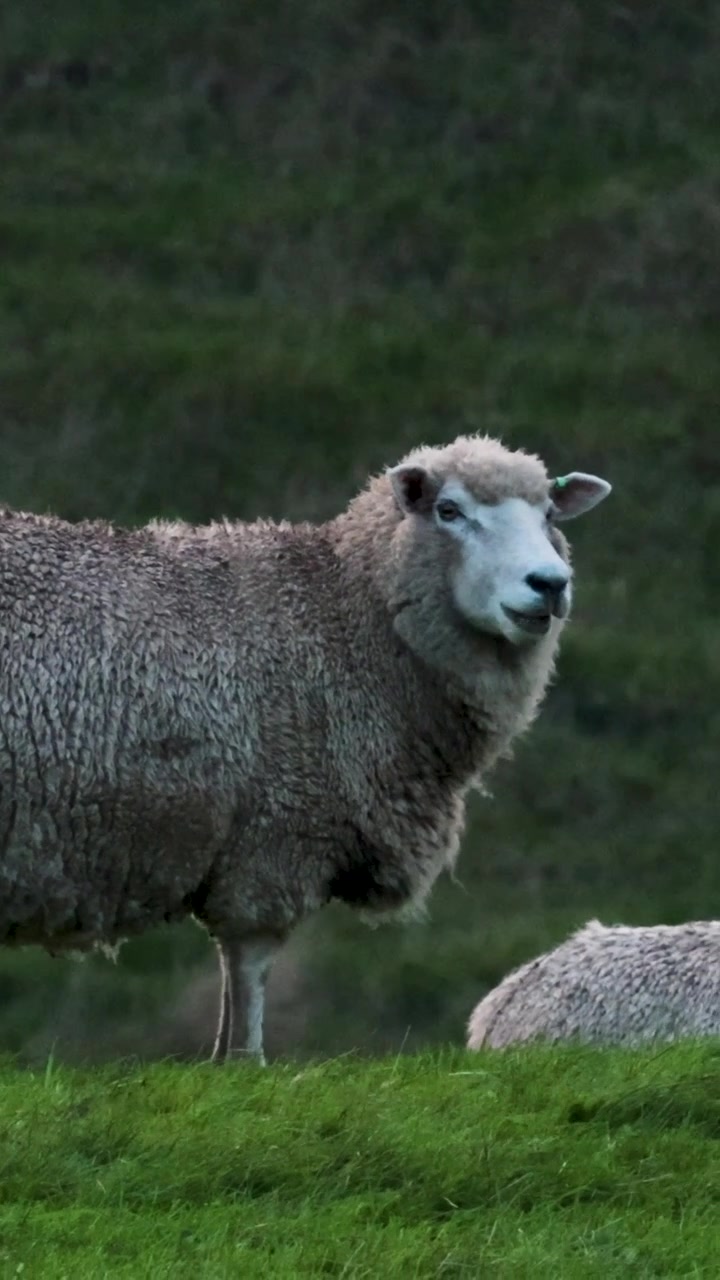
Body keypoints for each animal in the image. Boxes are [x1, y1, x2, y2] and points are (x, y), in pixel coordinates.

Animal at [0, 434, 610, 1063]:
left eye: (549, 514)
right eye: (449, 511)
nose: (550, 583)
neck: (338, 615)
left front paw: (220, 1061)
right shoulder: (278, 832)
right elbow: (249, 964)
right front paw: (245, 1062)